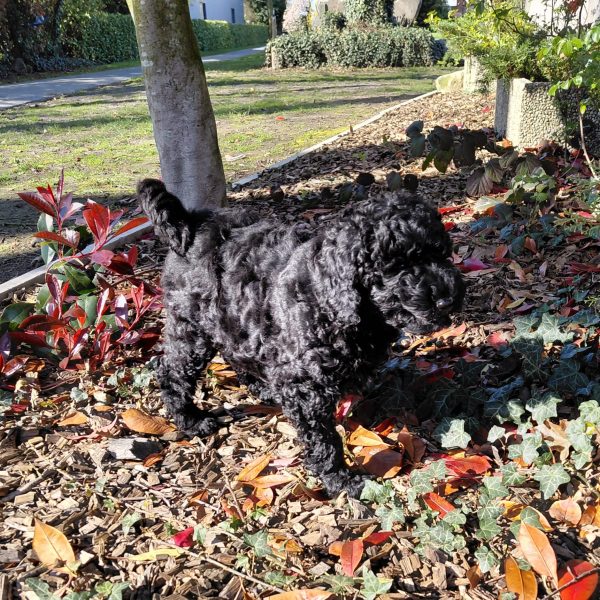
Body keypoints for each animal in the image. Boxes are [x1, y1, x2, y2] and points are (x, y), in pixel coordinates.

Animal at [138, 179, 465, 497]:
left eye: (442, 253)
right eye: (397, 267)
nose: (447, 299)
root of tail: (190, 223)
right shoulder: (307, 388)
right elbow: (323, 439)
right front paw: (341, 480)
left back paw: (263, 388)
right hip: (191, 327)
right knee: (171, 370)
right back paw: (191, 420)